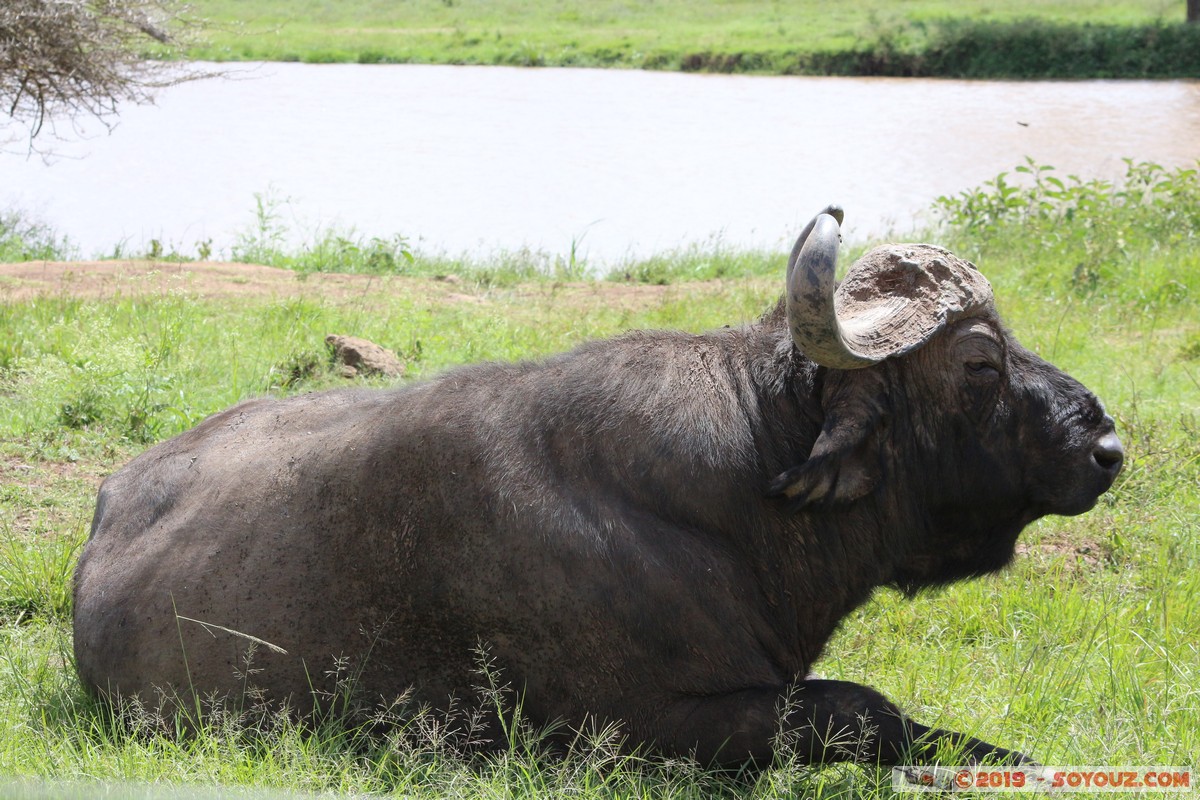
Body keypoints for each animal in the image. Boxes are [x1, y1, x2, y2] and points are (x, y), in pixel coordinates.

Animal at [72, 206, 1123, 767]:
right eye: (980, 363)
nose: (1107, 443)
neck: (748, 489)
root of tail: (107, 508)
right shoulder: (646, 723)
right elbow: (867, 709)